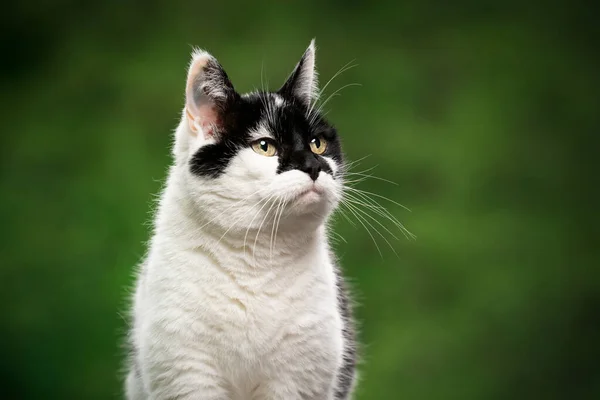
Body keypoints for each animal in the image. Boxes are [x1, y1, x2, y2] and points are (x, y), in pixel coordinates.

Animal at [126, 40, 356, 400]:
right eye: (265, 146)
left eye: (318, 143)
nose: (314, 165)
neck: (256, 257)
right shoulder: (186, 372)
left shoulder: (299, 377)